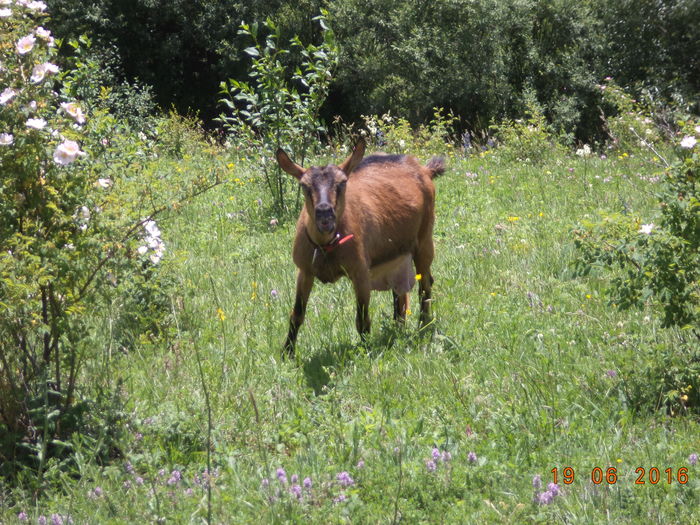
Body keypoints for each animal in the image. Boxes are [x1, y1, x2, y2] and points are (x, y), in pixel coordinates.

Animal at [278, 138, 446, 356]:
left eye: (342, 183)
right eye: (304, 186)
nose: (324, 214)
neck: (326, 246)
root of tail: (424, 169)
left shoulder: (360, 271)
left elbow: (362, 319)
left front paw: (365, 351)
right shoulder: (305, 270)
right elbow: (297, 314)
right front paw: (287, 353)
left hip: (424, 239)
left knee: (425, 284)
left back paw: (423, 325)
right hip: (397, 253)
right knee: (400, 291)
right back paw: (398, 326)